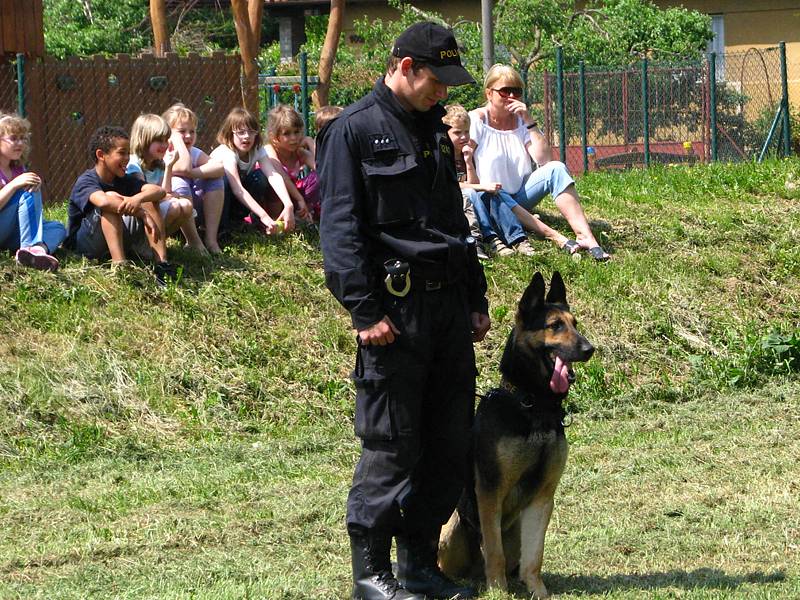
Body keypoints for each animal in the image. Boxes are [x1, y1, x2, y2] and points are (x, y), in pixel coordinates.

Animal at [438, 272, 592, 596]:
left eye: (575, 323)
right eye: (555, 325)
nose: (589, 349)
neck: (533, 405)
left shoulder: (543, 497)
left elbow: (534, 557)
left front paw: (539, 592)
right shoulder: (490, 492)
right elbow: (494, 551)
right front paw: (498, 590)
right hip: (450, 524)